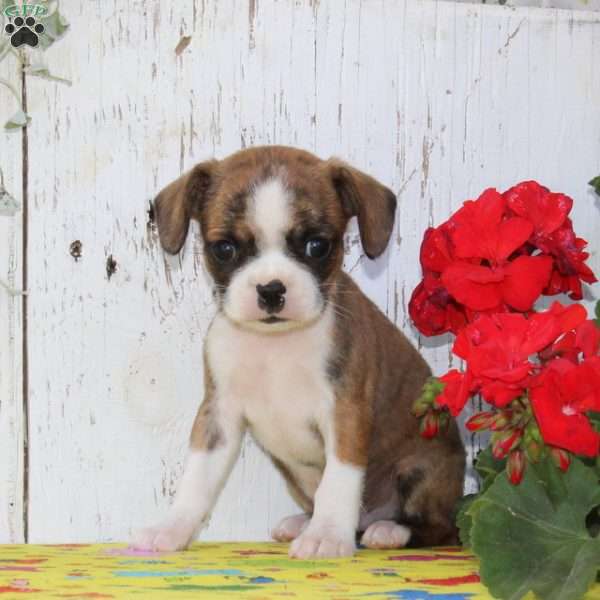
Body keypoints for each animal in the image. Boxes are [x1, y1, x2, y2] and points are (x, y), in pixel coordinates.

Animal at [134, 145, 466, 556]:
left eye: (316, 245)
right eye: (224, 249)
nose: (271, 289)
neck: (276, 343)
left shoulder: (345, 413)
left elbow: (338, 482)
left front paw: (327, 535)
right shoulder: (217, 417)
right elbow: (197, 479)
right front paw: (172, 528)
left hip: (423, 471)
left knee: (440, 529)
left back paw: (389, 530)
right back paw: (304, 523)